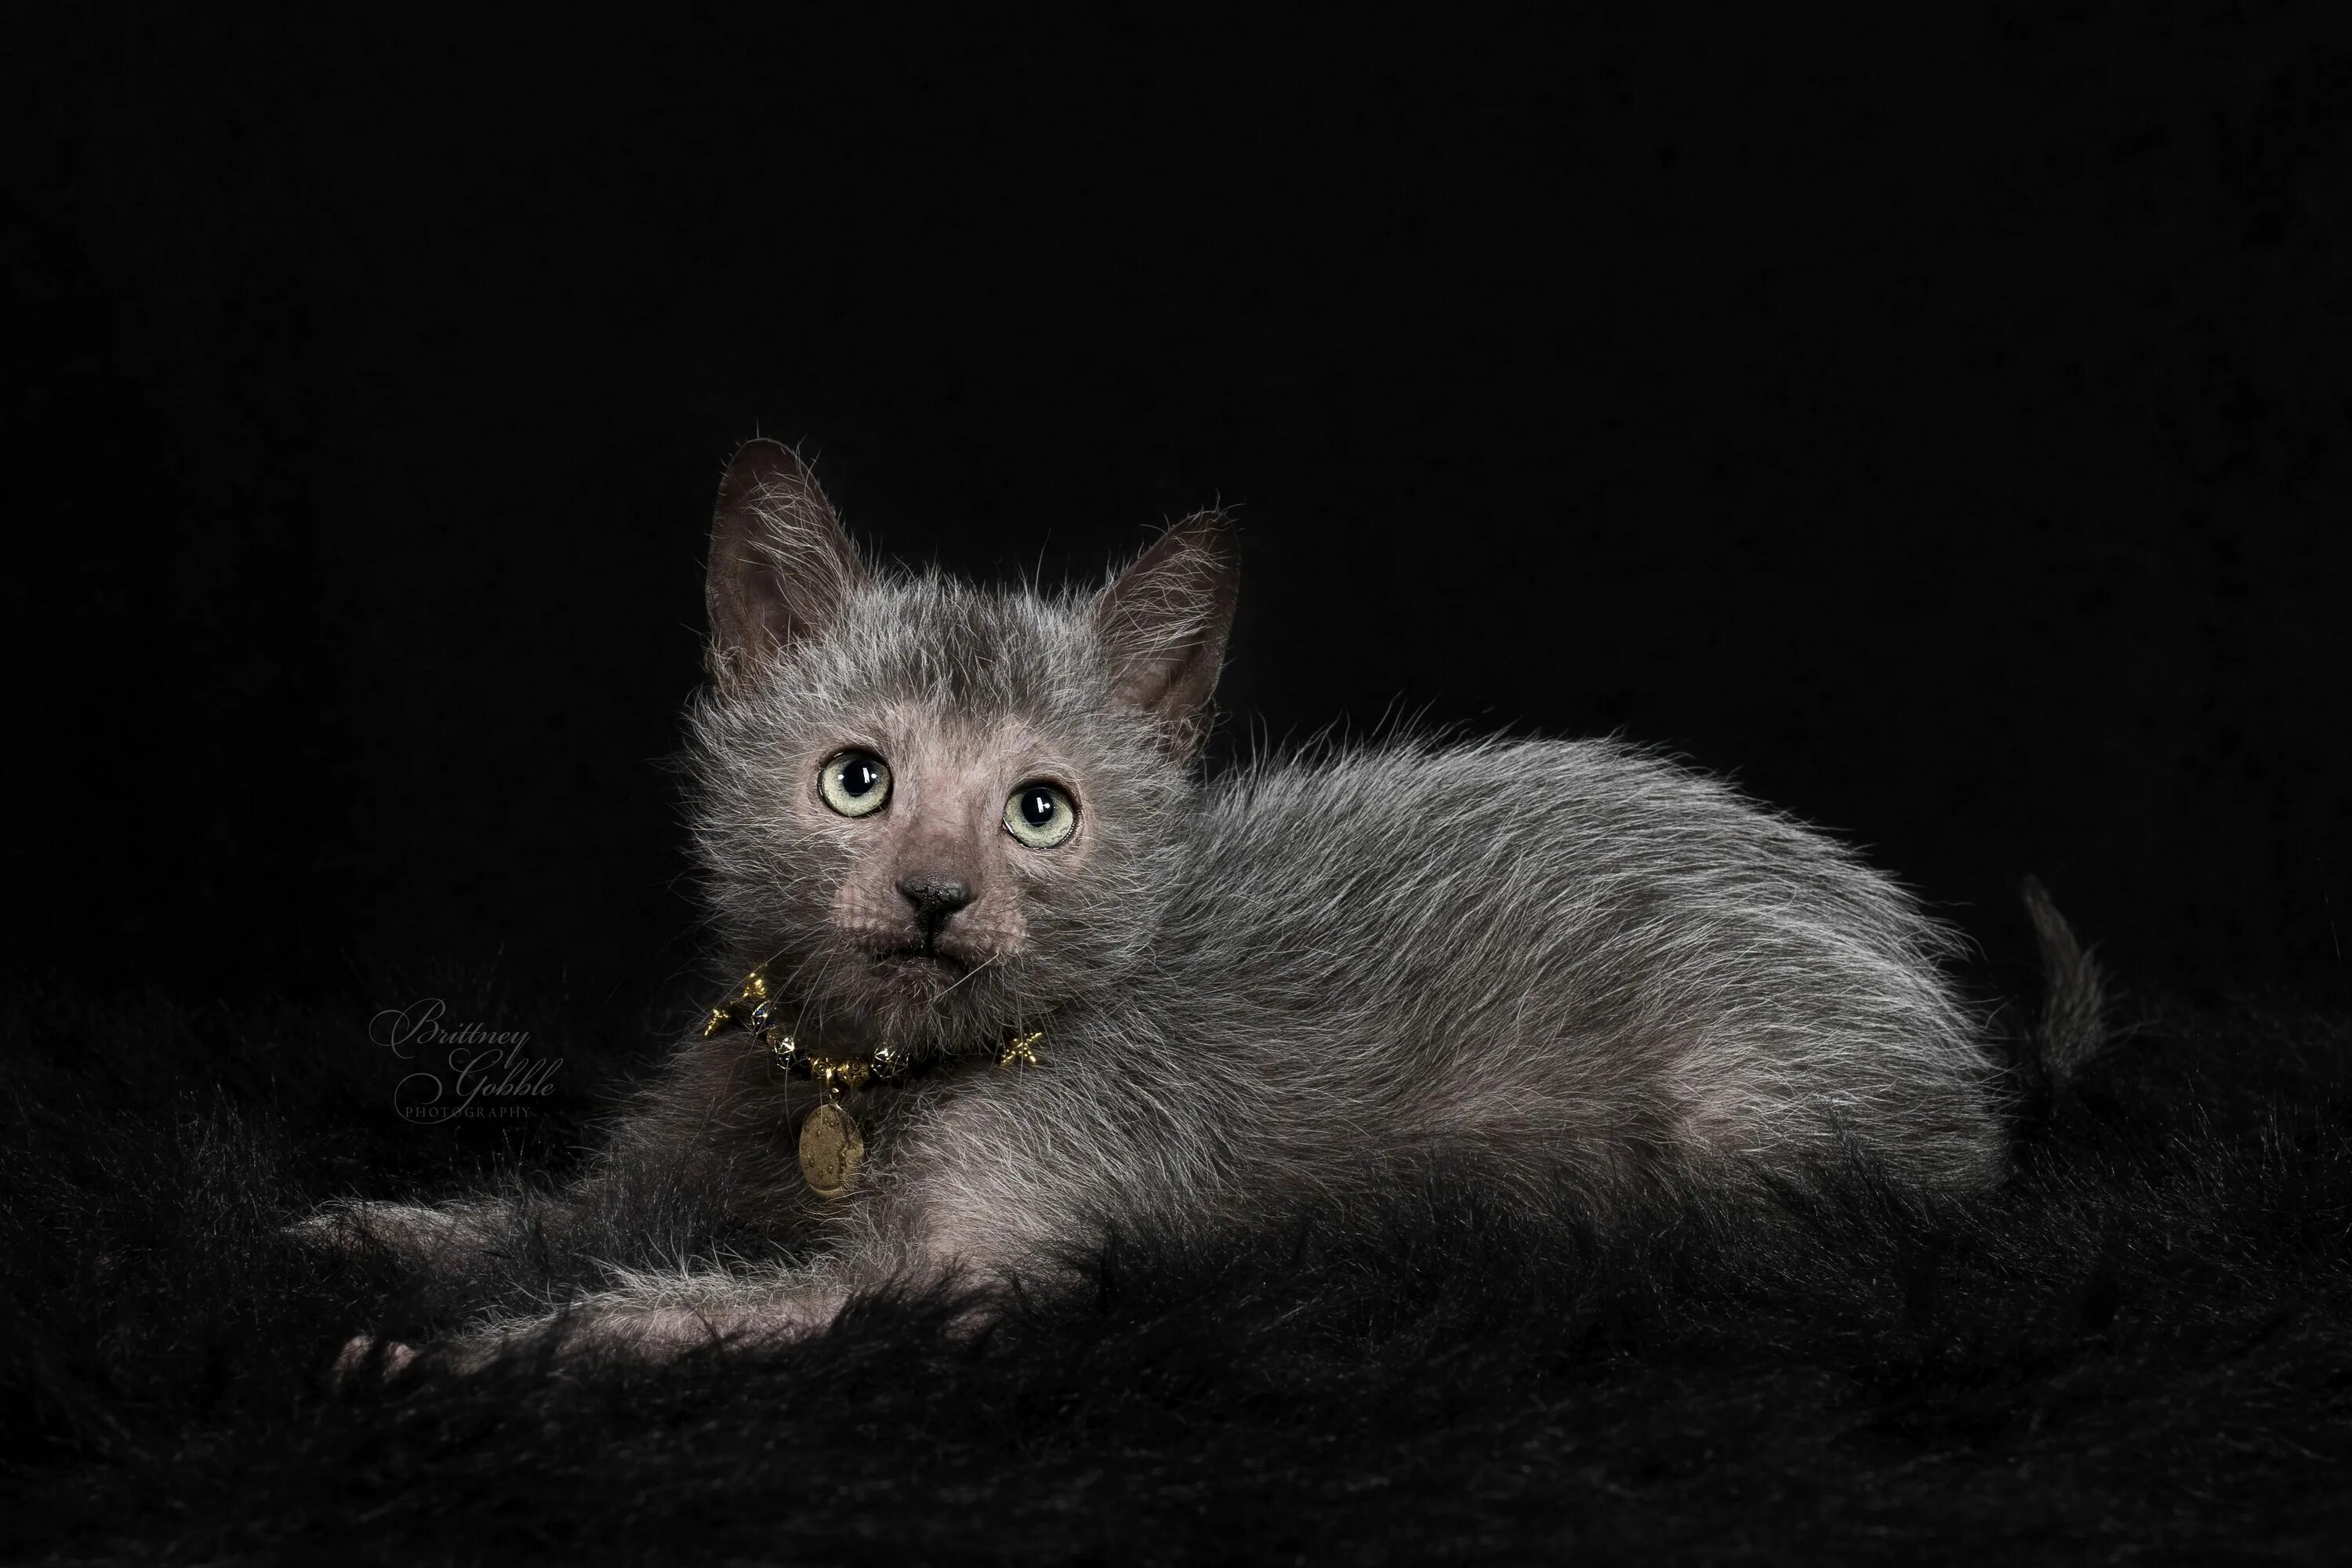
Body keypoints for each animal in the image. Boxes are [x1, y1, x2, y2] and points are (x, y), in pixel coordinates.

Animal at [303, 439, 2089, 1373]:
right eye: (856, 781)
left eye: (1041, 810)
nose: (939, 895)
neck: (860, 1081)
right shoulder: (676, 1152)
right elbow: (553, 1205)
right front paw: (387, 1234)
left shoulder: (989, 1260)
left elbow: (743, 1301)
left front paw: (500, 1346)